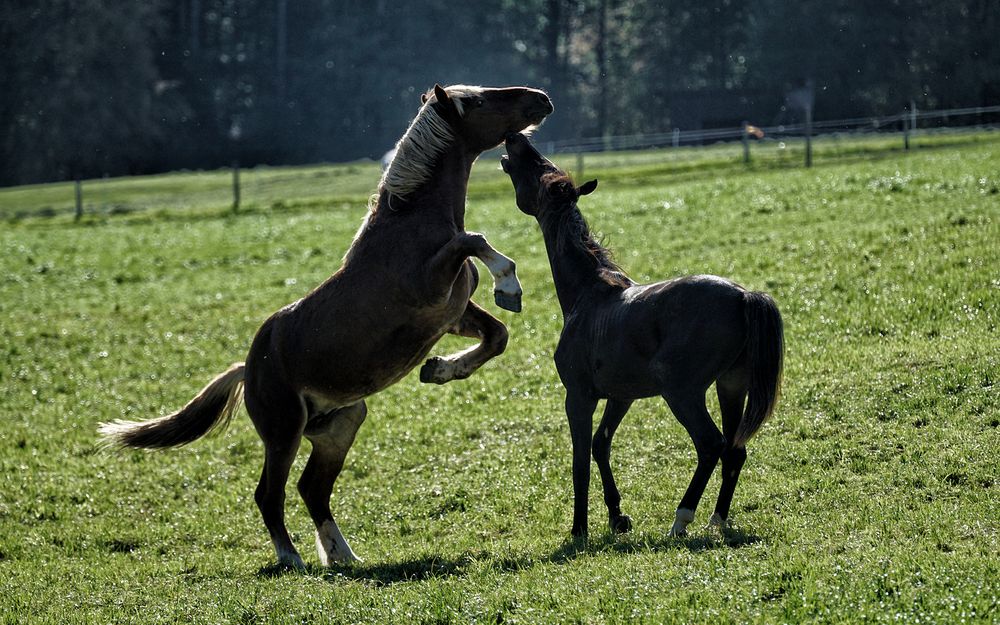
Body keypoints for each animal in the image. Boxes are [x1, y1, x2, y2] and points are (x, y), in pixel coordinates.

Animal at [101, 85, 556, 568]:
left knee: (311, 488)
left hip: (341, 423)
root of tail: (248, 369)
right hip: (283, 432)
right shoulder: (432, 287)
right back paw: (292, 559)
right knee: (270, 494)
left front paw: (438, 369)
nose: (541, 98)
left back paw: (343, 557)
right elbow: (476, 240)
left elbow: (498, 335)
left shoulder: (450, 315)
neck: (411, 226)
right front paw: (508, 281)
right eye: (482, 101)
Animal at [500, 134, 780, 540]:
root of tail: (744, 297)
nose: (517, 138)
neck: (589, 293)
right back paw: (717, 520)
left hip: (682, 392)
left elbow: (580, 460)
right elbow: (601, 445)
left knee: (711, 444)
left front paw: (579, 530)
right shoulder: (621, 397)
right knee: (735, 448)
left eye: (539, 168)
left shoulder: (579, 397)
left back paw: (681, 520)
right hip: (731, 385)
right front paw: (618, 517)